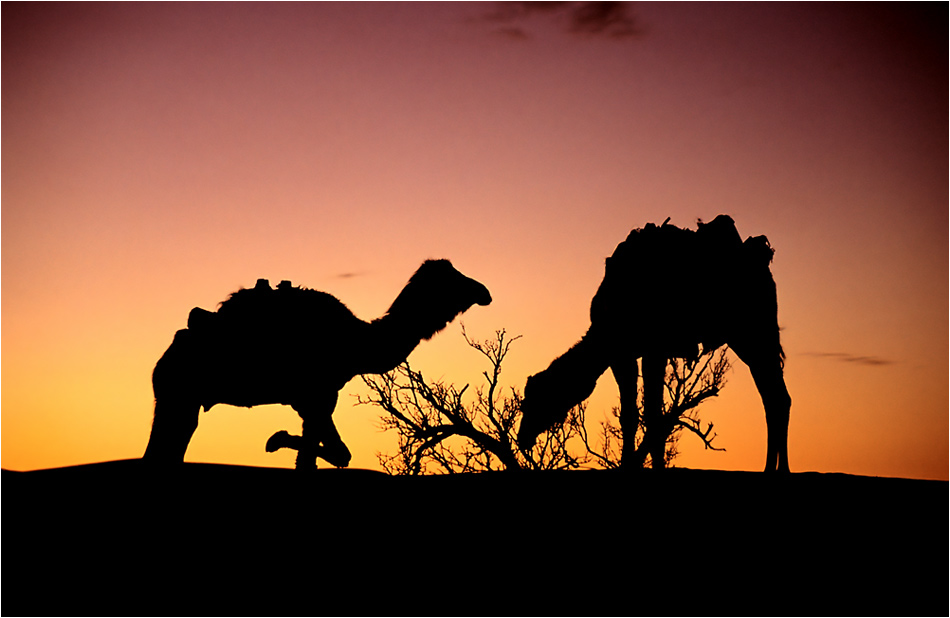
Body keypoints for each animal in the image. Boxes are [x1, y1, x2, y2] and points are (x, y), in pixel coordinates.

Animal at [147, 258, 498, 464]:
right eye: (452, 278)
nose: (484, 292)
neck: (357, 342)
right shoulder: (316, 398)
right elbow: (323, 457)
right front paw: (276, 440)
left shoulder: (316, 401)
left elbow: (333, 455)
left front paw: (277, 439)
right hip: (178, 395)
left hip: (181, 400)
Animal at [516, 214, 792, 470]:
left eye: (533, 402)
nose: (522, 438)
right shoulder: (624, 354)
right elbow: (630, 415)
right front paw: (628, 464)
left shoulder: (653, 349)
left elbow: (652, 414)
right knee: (774, 397)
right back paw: (773, 468)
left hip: (752, 333)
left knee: (777, 396)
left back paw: (778, 469)